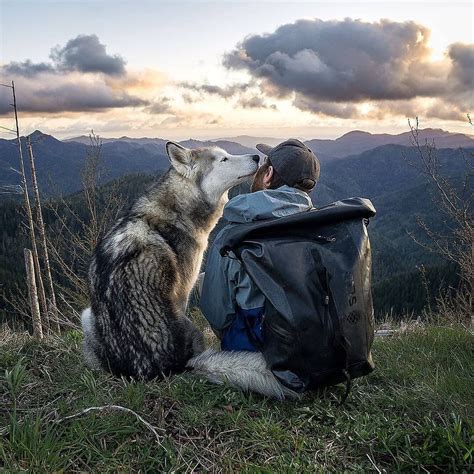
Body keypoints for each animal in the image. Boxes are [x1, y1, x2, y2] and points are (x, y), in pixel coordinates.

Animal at [81, 142, 296, 400]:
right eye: (223, 159)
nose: (257, 157)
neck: (177, 209)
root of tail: (167, 369)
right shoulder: (183, 292)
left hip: (86, 317)